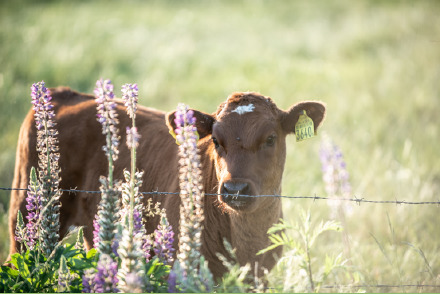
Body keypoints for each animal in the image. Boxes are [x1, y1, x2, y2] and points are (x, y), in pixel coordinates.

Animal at [7, 88, 326, 280]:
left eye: (270, 138)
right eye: (216, 140)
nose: (235, 189)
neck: (245, 238)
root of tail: (64, 95)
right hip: (26, 219)